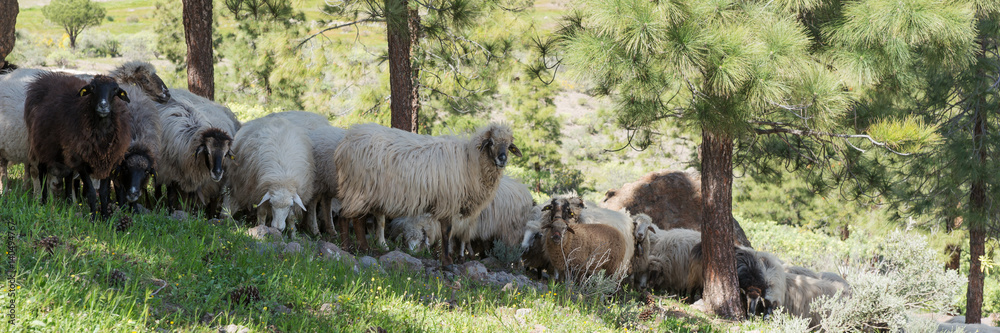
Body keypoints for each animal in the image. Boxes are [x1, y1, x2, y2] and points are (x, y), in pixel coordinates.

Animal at [24, 72, 132, 217]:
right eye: (92, 88)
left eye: (115, 89)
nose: (103, 106)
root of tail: (44, 78)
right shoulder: (81, 162)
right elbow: (91, 193)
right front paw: (93, 219)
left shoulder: (109, 163)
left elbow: (104, 193)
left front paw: (104, 217)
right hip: (42, 146)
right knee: (43, 172)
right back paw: (44, 201)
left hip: (65, 153)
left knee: (68, 176)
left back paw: (69, 202)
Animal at [338, 120, 524, 264]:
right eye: (491, 142)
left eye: (509, 146)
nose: (502, 159)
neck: (470, 161)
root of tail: (347, 141)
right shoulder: (448, 201)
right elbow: (447, 232)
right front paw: (447, 261)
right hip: (359, 188)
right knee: (346, 216)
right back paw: (347, 247)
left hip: (362, 190)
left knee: (356, 219)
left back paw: (363, 248)